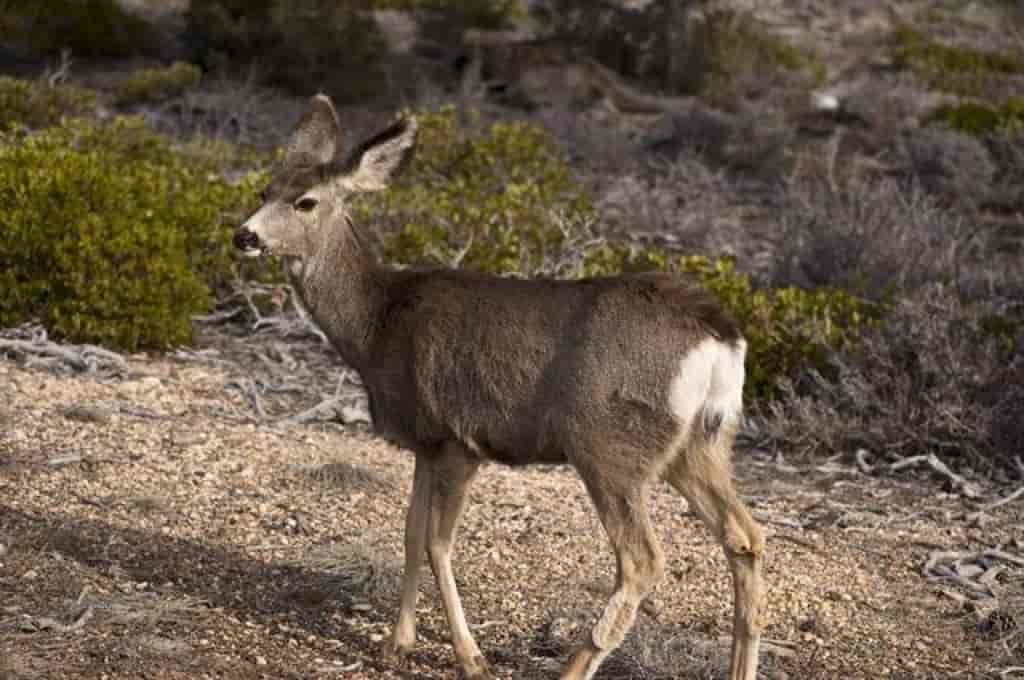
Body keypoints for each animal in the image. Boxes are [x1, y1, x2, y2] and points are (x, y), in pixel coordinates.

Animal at [235, 95, 765, 680]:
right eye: (264, 190)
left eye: (305, 201)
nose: (244, 236)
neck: (377, 323)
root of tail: (720, 338)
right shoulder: (426, 441)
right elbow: (411, 533)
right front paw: (397, 644)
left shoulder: (460, 439)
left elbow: (438, 543)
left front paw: (470, 656)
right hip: (701, 442)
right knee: (745, 537)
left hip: (610, 444)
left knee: (642, 560)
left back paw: (573, 666)